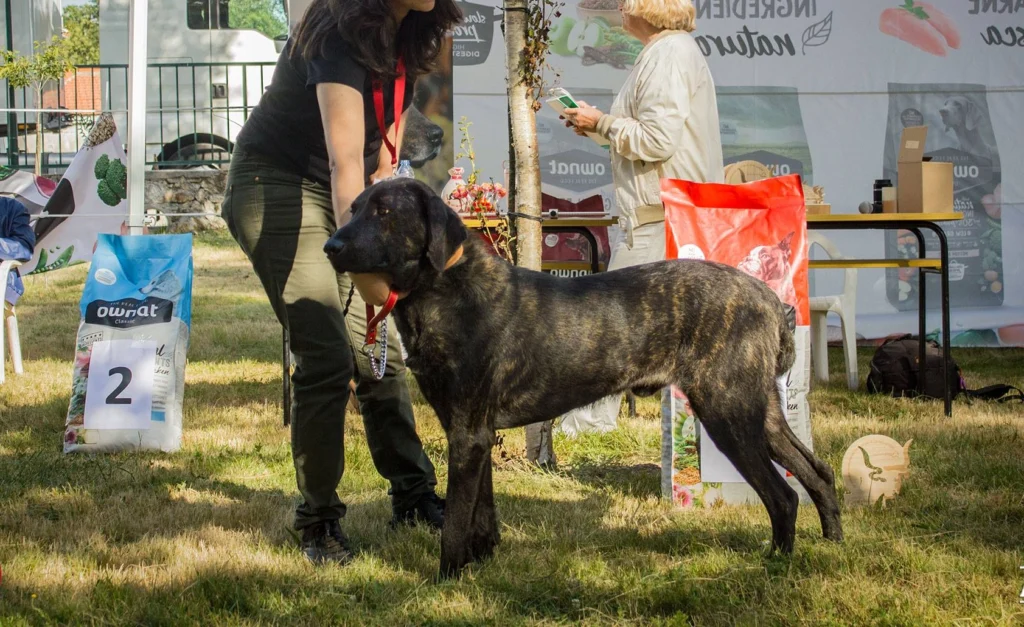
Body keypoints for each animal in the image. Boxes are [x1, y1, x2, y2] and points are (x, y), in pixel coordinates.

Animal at [323, 176, 843, 577]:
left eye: (384, 212)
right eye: (354, 208)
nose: (330, 245)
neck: (444, 288)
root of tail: (771, 299)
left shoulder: (467, 433)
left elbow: (455, 522)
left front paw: (446, 579)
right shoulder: (475, 432)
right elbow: (481, 513)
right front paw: (482, 564)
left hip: (728, 414)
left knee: (783, 495)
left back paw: (776, 563)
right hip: (761, 412)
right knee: (817, 473)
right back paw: (832, 542)